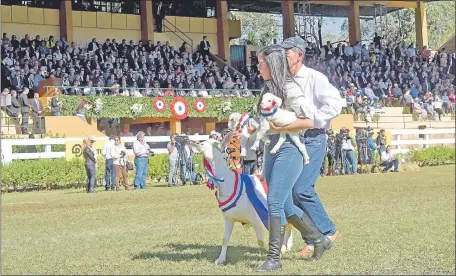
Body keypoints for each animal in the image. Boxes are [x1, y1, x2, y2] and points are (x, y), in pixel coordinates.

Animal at [190, 134, 292, 266]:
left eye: (203, 144)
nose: (191, 143)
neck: (228, 182)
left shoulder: (256, 218)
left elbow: (261, 240)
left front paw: (273, 252)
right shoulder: (228, 218)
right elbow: (225, 239)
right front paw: (220, 259)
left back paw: (284, 247)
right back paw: (286, 246)